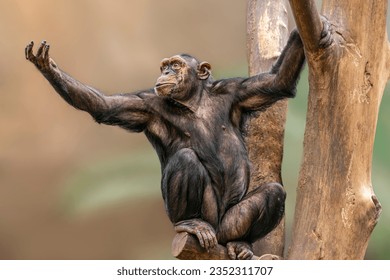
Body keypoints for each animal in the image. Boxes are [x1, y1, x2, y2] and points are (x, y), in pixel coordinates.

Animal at [25, 29, 304, 260]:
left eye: (176, 65)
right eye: (164, 66)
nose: (166, 73)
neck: (194, 101)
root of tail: (216, 234)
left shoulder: (238, 91)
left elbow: (276, 81)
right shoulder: (145, 104)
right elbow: (104, 105)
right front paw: (47, 66)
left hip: (228, 225)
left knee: (273, 193)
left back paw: (241, 243)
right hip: (204, 219)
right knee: (186, 159)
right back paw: (188, 223)